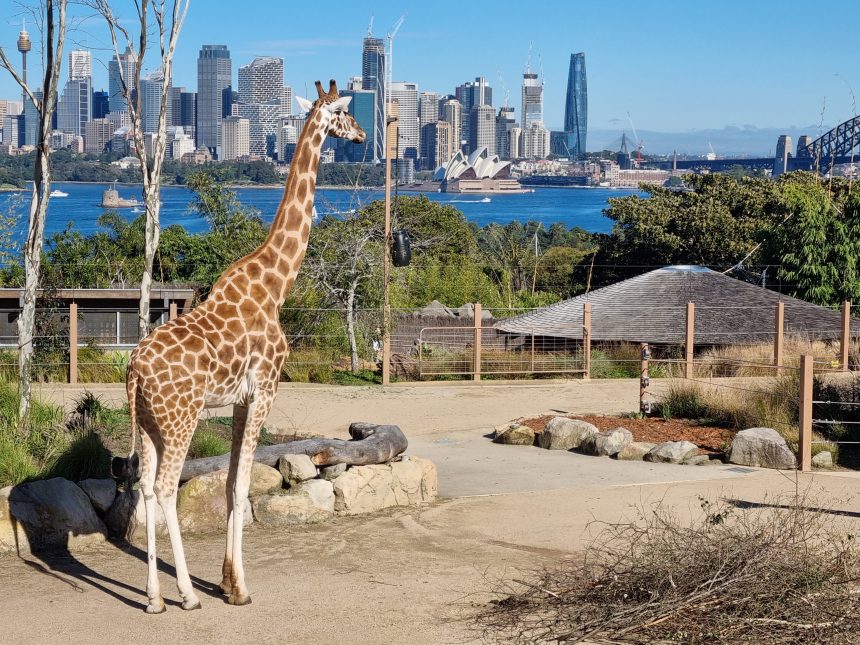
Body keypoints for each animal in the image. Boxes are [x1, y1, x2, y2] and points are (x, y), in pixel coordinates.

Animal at [121, 79, 365, 613]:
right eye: (345, 113)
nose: (361, 136)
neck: (276, 284)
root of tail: (132, 372)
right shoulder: (266, 390)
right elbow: (239, 487)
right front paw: (240, 588)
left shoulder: (238, 400)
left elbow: (234, 481)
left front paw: (229, 582)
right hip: (181, 419)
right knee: (165, 488)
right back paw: (186, 594)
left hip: (148, 423)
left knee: (145, 488)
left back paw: (153, 598)